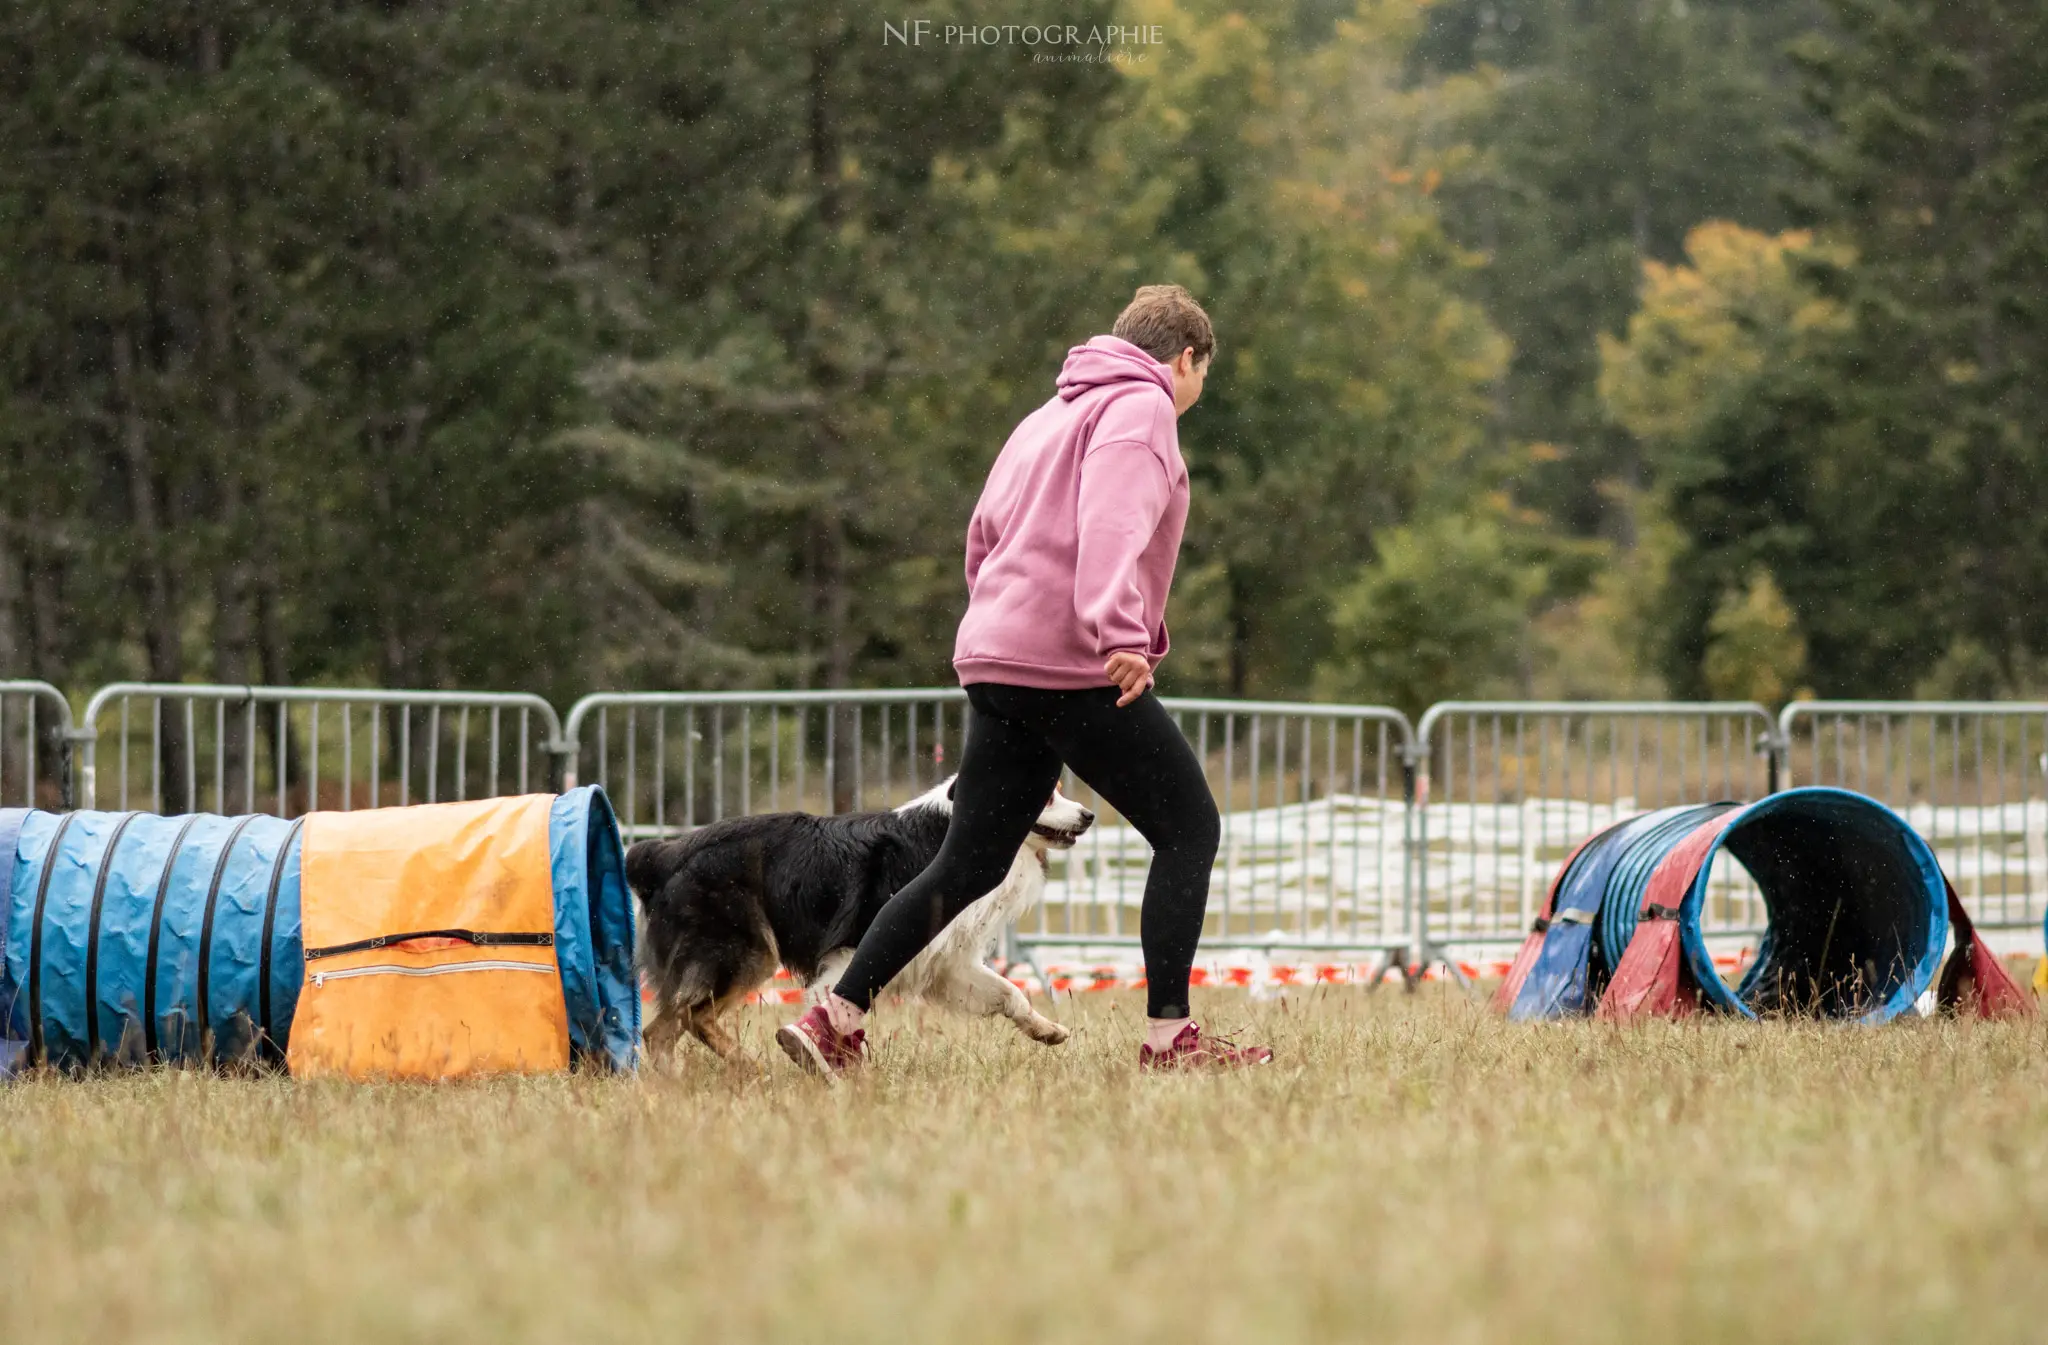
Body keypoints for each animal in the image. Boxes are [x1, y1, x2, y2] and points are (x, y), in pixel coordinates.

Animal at [626, 777, 1097, 1056]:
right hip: (742, 950)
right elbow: (837, 1008)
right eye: (1047, 795)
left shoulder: (947, 962)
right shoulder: (852, 951)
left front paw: (1046, 1029)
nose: (1090, 814)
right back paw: (748, 1068)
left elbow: (1009, 991)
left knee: (662, 1030)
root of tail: (661, 854)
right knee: (690, 1018)